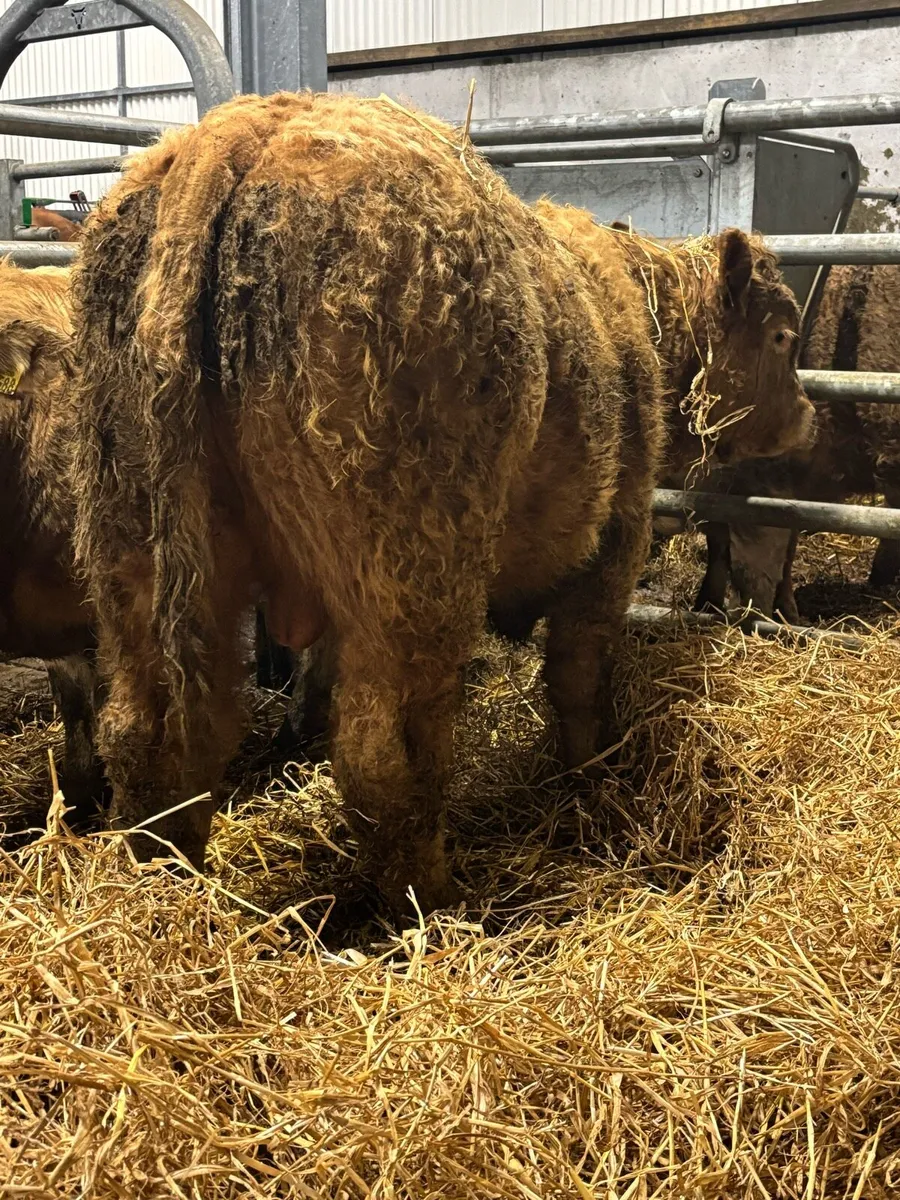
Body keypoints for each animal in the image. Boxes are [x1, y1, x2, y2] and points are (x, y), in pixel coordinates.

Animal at [68, 92, 813, 915]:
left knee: (149, 729)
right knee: (381, 757)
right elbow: (577, 679)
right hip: (414, 576)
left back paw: (163, 881)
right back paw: (435, 897)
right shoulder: (615, 536)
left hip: (131, 546)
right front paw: (590, 776)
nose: (809, 414)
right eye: (784, 336)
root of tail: (239, 131)